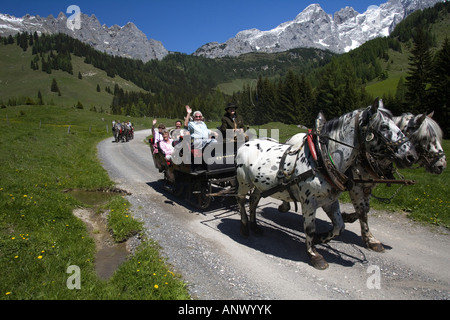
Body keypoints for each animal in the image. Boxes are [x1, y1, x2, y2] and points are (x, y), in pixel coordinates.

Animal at [237, 99, 416, 268]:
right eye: (384, 126)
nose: (411, 156)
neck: (321, 159)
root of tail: (246, 143)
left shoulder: (330, 200)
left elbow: (340, 226)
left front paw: (320, 238)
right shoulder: (309, 202)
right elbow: (309, 229)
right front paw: (314, 255)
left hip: (259, 185)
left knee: (253, 201)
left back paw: (255, 225)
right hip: (244, 183)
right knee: (241, 200)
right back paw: (245, 226)